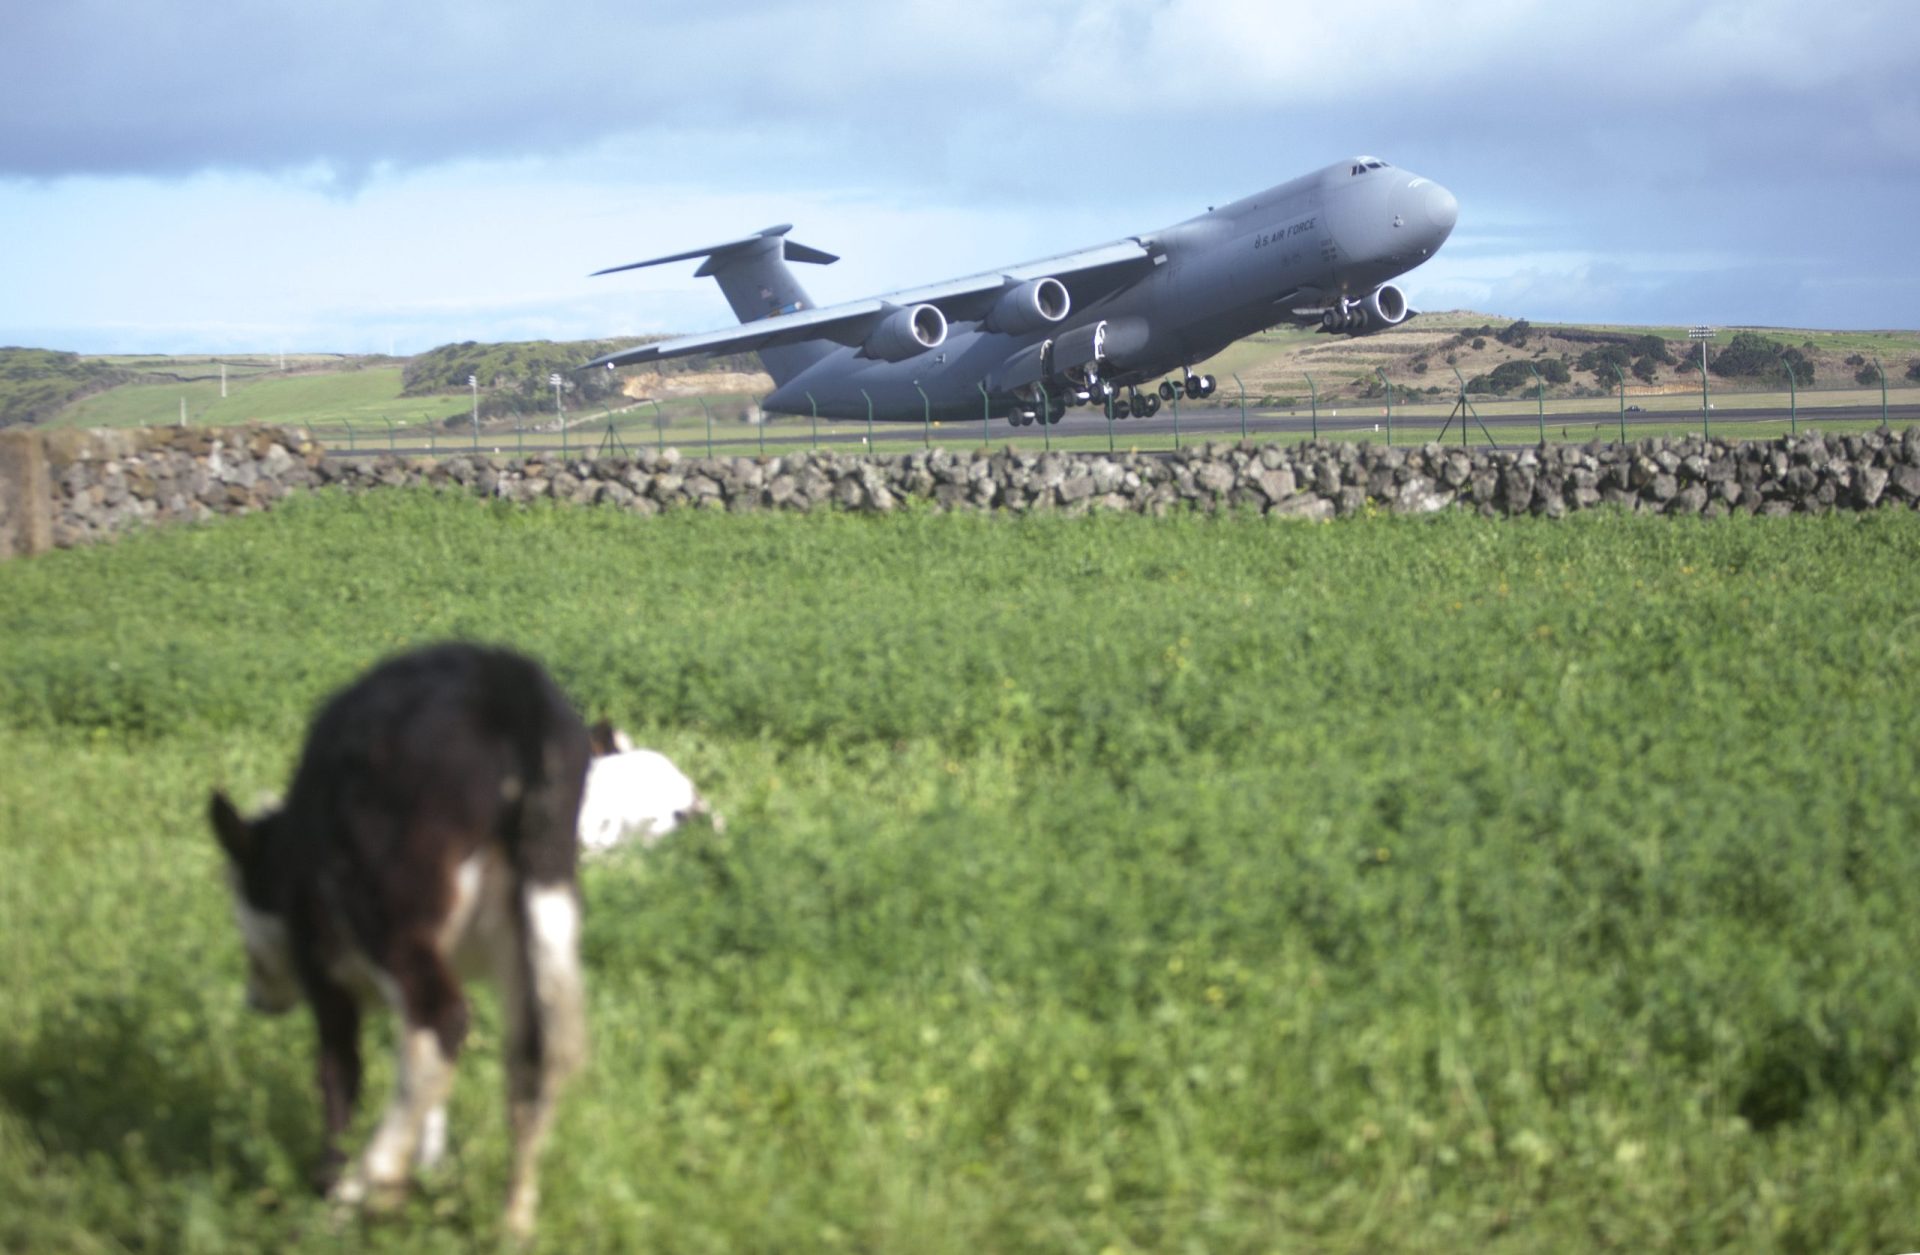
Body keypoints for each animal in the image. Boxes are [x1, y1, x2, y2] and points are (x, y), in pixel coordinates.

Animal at [206, 644, 587, 1243]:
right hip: (544, 907)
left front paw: (332, 1180)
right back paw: (513, 1222)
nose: (255, 998)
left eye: (240, 896)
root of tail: (508, 686)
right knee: (533, 1054)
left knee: (442, 1021)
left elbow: (338, 1072)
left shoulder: (323, 967)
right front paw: (429, 1164)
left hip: (390, 911)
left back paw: (362, 1191)